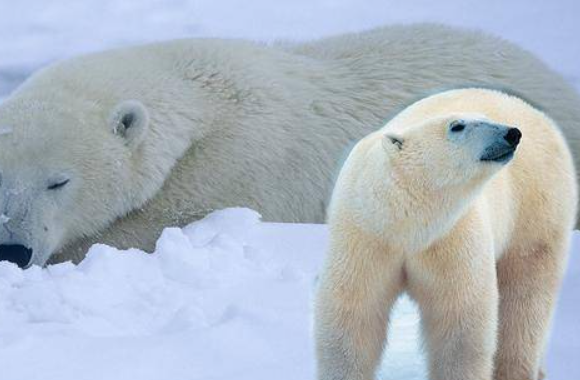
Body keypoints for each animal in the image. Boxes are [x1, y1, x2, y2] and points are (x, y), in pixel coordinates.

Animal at [0, 23, 580, 268]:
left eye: (58, 181)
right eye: (2, 178)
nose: (13, 250)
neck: (206, 104)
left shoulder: (240, 171)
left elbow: (141, 229)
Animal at [314, 88, 576, 380]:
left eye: (486, 118)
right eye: (457, 126)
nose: (512, 133)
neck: (406, 225)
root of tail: (538, 114)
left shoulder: (451, 236)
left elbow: (459, 322)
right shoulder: (366, 236)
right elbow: (354, 311)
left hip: (536, 207)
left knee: (525, 296)